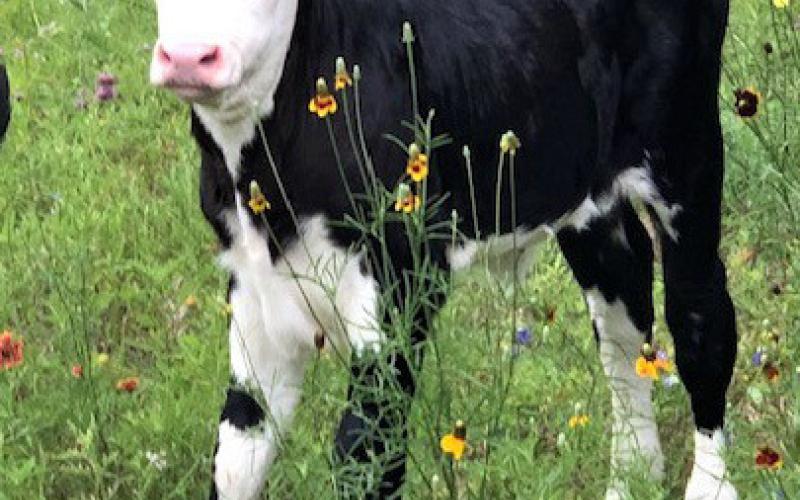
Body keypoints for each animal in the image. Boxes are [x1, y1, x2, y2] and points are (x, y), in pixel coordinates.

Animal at [150, 0, 738, 498]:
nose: (189, 57)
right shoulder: (254, 288)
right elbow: (237, 455)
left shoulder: (399, 280)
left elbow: (366, 454)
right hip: (583, 187)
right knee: (622, 316)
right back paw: (632, 478)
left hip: (685, 150)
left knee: (700, 322)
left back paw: (709, 484)